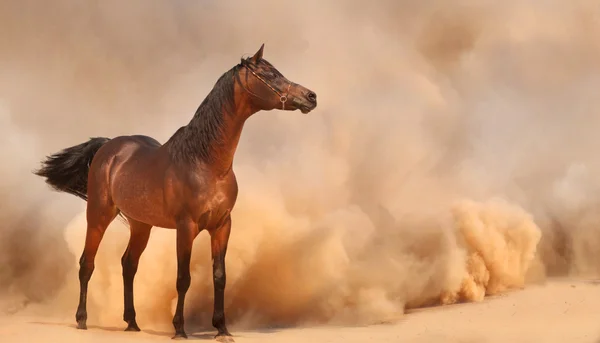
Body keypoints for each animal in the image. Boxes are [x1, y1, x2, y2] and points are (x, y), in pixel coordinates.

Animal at [33, 43, 316, 342]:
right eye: (270, 74)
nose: (310, 96)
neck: (206, 162)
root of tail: (109, 147)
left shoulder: (223, 225)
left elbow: (220, 276)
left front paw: (222, 328)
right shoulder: (186, 226)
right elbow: (183, 278)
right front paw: (179, 329)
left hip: (141, 225)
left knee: (128, 265)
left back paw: (132, 323)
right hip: (99, 215)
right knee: (87, 263)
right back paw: (82, 320)